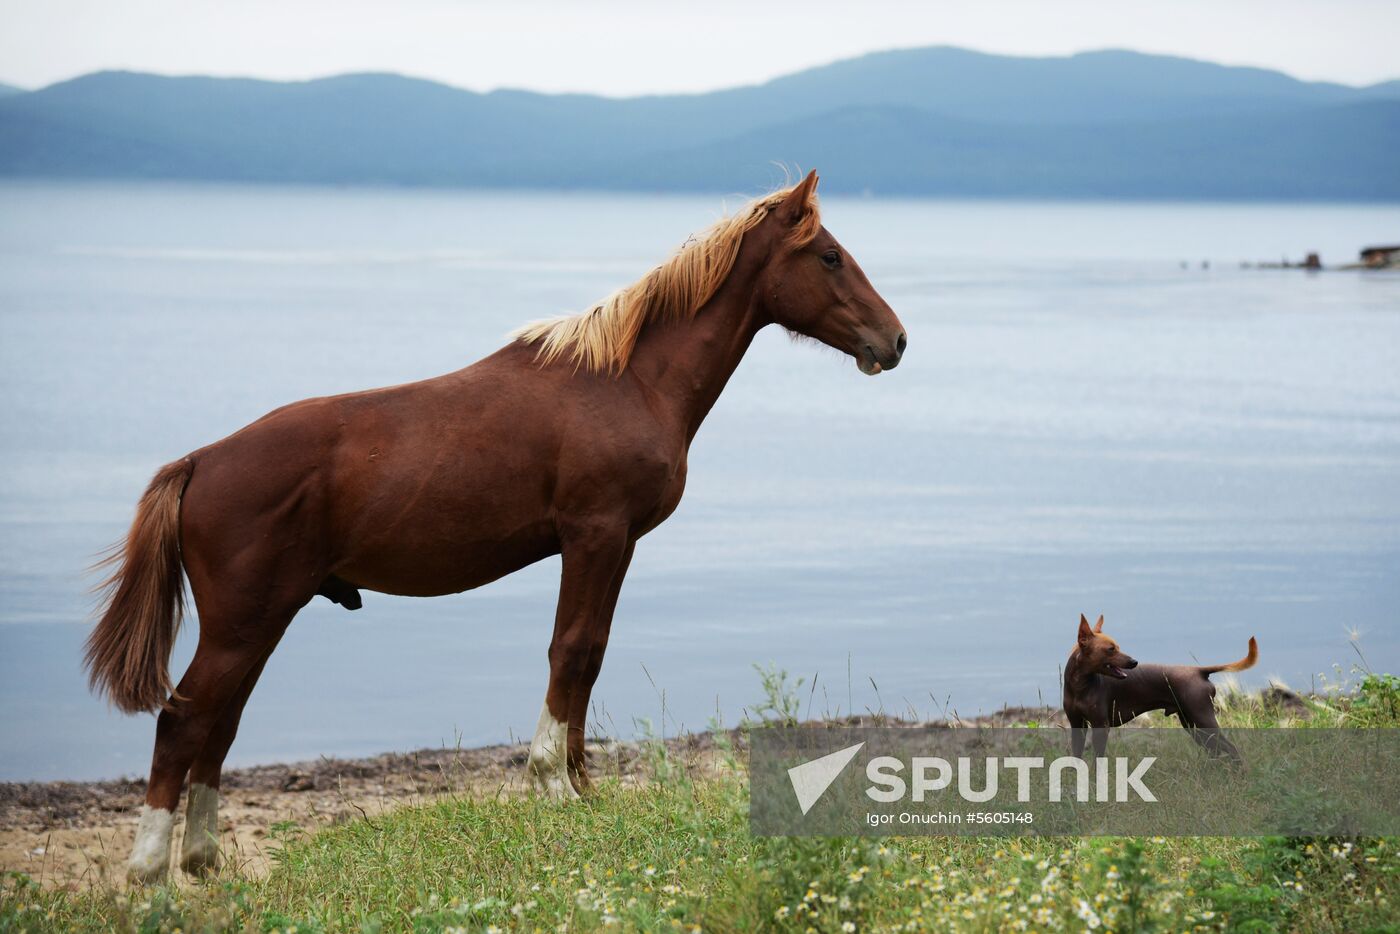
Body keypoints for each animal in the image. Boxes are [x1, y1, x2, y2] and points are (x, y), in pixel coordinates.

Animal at [87, 171, 907, 879]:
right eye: (829, 255)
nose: (895, 340)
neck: (628, 381)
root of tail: (201, 461)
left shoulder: (617, 546)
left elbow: (591, 654)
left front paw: (581, 784)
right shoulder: (594, 535)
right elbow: (569, 651)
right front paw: (552, 783)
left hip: (261, 620)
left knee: (217, 724)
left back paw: (202, 862)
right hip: (243, 623)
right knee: (184, 722)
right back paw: (149, 872)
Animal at [1064, 616, 1254, 761]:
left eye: (1118, 647)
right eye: (1111, 649)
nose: (1134, 661)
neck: (1080, 686)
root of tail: (1199, 671)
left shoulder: (1101, 727)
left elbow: (1098, 759)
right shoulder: (1077, 725)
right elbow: (1076, 755)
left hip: (1202, 720)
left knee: (1232, 748)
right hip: (1194, 726)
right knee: (1217, 750)